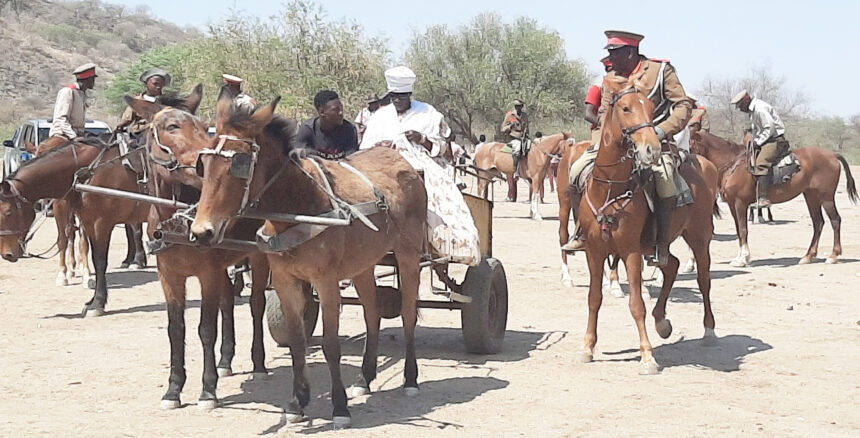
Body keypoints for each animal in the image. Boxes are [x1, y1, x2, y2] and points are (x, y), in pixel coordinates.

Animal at [190, 89, 428, 428]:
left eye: (239, 163)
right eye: (204, 163)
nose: (202, 232)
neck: (298, 209)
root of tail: (400, 160)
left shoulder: (326, 282)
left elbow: (330, 344)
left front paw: (339, 407)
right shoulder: (286, 281)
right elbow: (298, 341)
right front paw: (297, 402)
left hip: (408, 256)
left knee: (408, 313)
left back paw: (410, 379)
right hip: (363, 263)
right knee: (372, 313)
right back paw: (365, 379)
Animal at [576, 78, 724, 372]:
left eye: (650, 108)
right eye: (625, 108)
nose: (651, 149)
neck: (609, 190)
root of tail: (705, 163)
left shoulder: (631, 252)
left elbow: (636, 304)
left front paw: (647, 356)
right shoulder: (594, 252)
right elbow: (594, 299)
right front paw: (588, 347)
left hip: (699, 238)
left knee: (703, 280)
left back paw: (709, 330)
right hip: (657, 246)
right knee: (672, 265)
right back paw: (662, 321)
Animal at [688, 130, 856, 266]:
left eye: (688, 145)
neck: (734, 165)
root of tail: (832, 154)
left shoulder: (740, 203)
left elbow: (743, 230)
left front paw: (743, 259)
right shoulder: (732, 205)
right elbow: (738, 231)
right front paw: (740, 257)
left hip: (826, 197)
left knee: (835, 220)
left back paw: (833, 256)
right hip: (811, 196)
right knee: (818, 223)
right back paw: (808, 256)